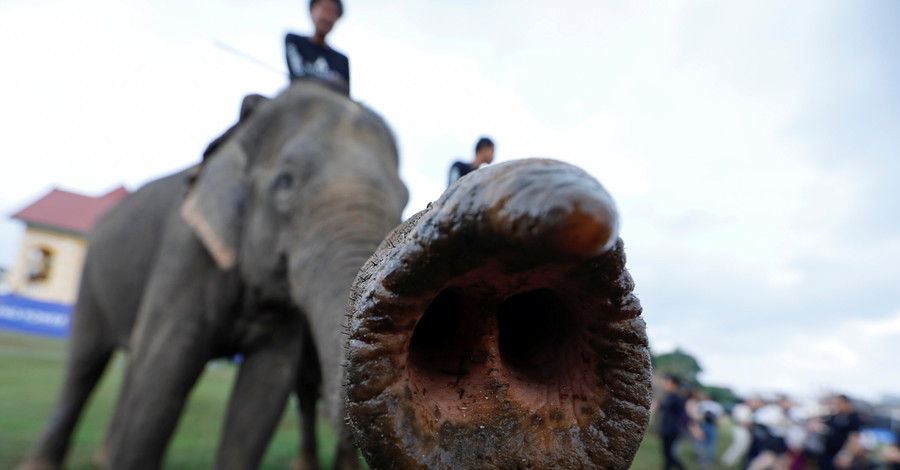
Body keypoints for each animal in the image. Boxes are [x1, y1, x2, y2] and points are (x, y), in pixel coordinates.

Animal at [17, 81, 408, 470]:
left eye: (405, 197)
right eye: (286, 182)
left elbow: (263, 393)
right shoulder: (185, 252)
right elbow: (163, 375)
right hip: (92, 277)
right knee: (85, 364)